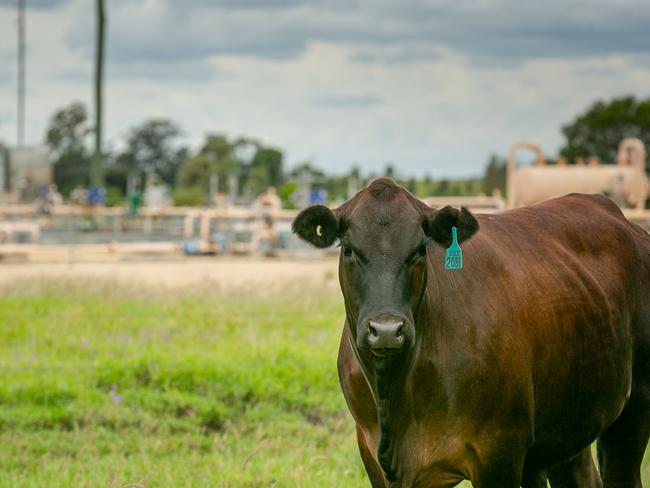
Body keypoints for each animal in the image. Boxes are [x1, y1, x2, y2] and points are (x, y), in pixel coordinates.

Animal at [294, 179, 648, 488]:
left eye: (419, 250)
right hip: (567, 429)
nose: (386, 331)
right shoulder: (372, 456)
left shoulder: (499, 454)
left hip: (631, 414)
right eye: (349, 250)